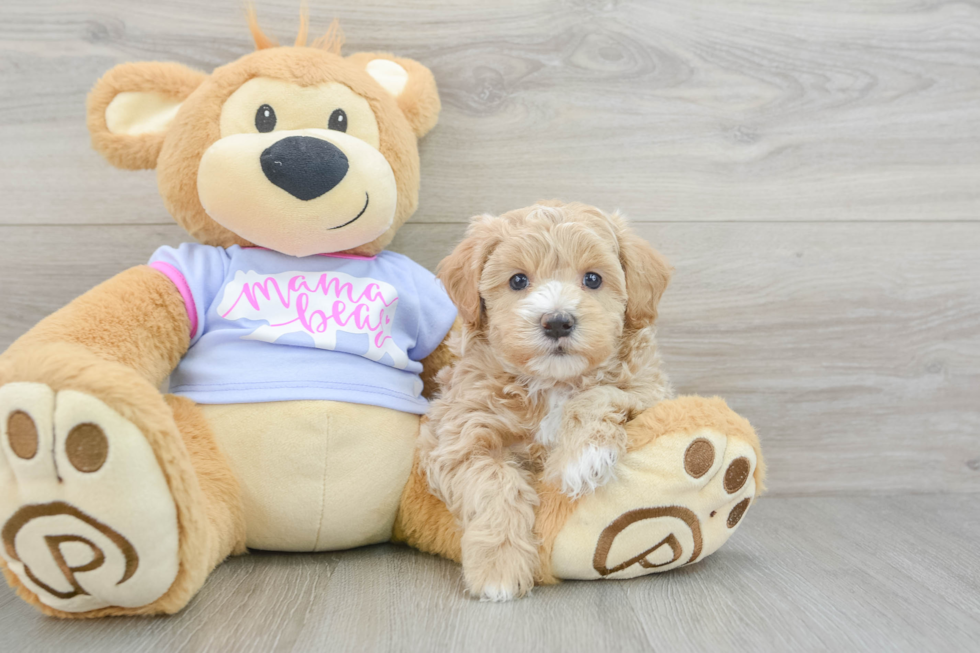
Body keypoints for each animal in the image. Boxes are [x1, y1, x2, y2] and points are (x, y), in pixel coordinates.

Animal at [422, 200, 672, 600]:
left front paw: (580, 459)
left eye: (593, 279)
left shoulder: (650, 389)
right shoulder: (458, 436)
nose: (557, 322)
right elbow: (493, 479)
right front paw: (499, 568)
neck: (553, 382)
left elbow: (600, 394)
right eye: (518, 281)